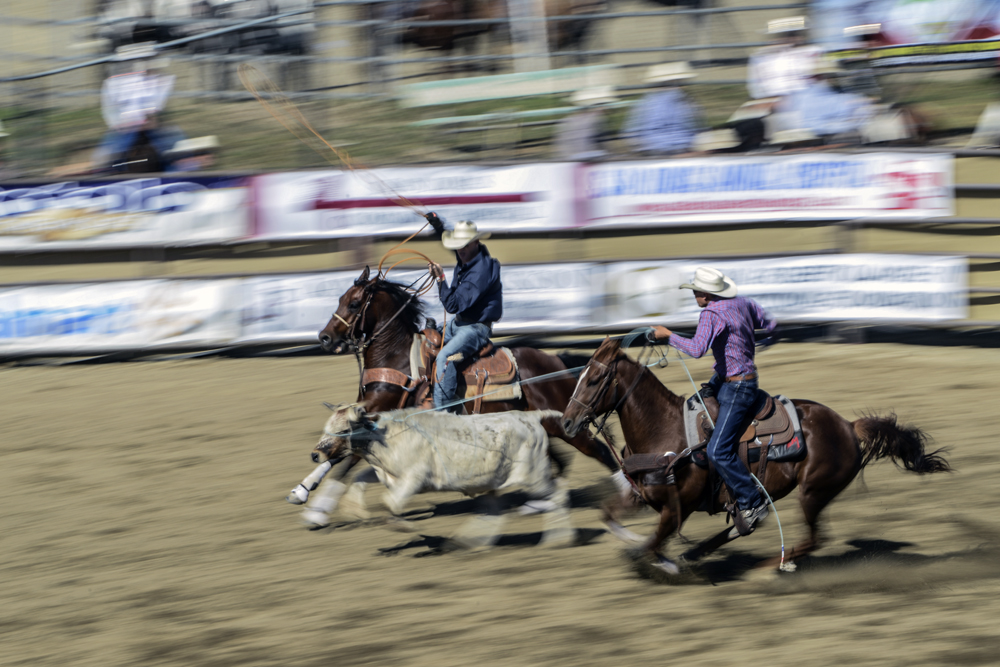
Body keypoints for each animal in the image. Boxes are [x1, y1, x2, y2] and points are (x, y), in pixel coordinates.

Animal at [564, 340, 952, 580]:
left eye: (594, 379)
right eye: (578, 376)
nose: (567, 423)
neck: (665, 430)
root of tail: (848, 425)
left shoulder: (677, 507)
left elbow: (653, 544)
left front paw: (662, 562)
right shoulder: (643, 495)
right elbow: (609, 516)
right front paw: (640, 545)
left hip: (813, 492)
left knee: (814, 539)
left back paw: (766, 568)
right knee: (750, 524)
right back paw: (707, 549)